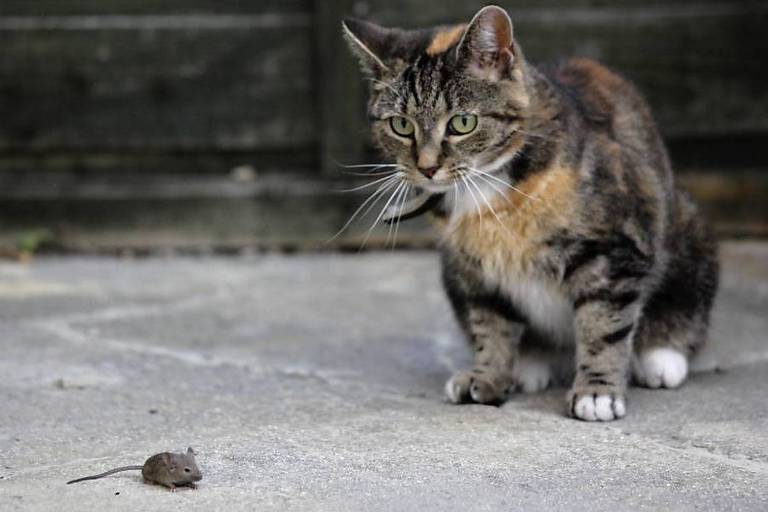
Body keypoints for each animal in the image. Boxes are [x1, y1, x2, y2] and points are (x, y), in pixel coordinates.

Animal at [344, 5, 720, 420]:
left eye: (462, 123)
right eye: (401, 125)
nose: (427, 168)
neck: (486, 187)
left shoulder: (613, 249)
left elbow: (603, 325)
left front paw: (597, 393)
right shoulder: (473, 270)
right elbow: (488, 325)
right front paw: (486, 377)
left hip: (687, 232)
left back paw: (660, 357)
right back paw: (528, 365)